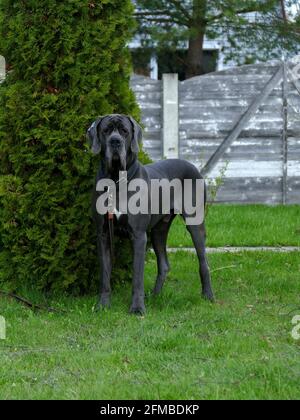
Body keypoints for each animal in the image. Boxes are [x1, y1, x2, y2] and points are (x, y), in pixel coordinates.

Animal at [86, 113, 213, 314]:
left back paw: (207, 295)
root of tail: (192, 166)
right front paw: (103, 305)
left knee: (204, 262)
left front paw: (137, 308)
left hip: (194, 223)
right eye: (105, 130)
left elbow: (137, 276)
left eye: (124, 131)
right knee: (164, 264)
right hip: (158, 230)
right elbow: (105, 275)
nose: (115, 141)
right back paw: (155, 296)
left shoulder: (139, 236)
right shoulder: (104, 234)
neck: (115, 181)